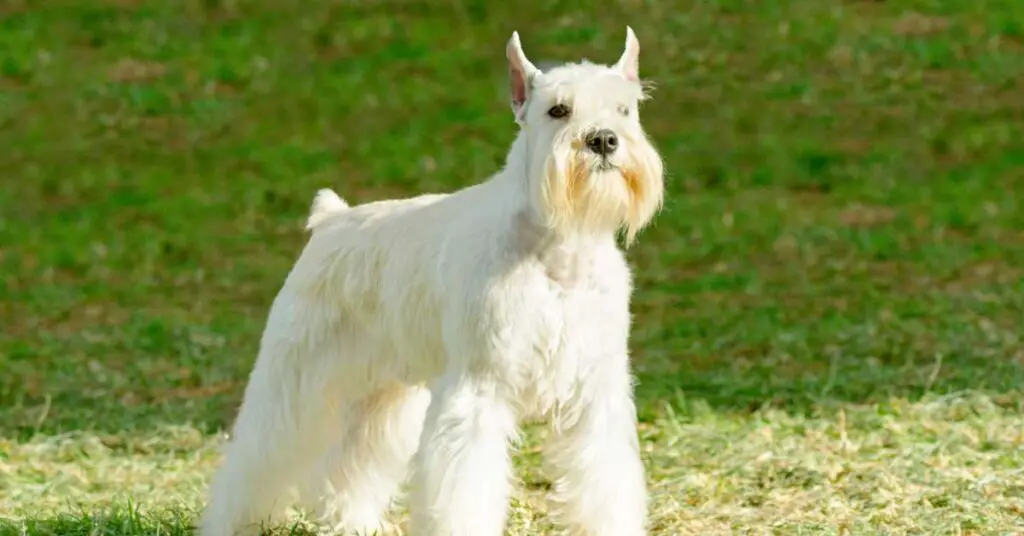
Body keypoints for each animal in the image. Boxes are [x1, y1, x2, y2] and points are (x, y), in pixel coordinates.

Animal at [198, 26, 663, 536]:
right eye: (558, 110)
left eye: (624, 109)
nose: (603, 140)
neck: (558, 246)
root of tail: (331, 219)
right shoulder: (478, 391)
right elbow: (464, 491)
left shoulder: (594, 394)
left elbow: (604, 482)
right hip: (294, 386)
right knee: (255, 460)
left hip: (383, 396)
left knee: (349, 468)